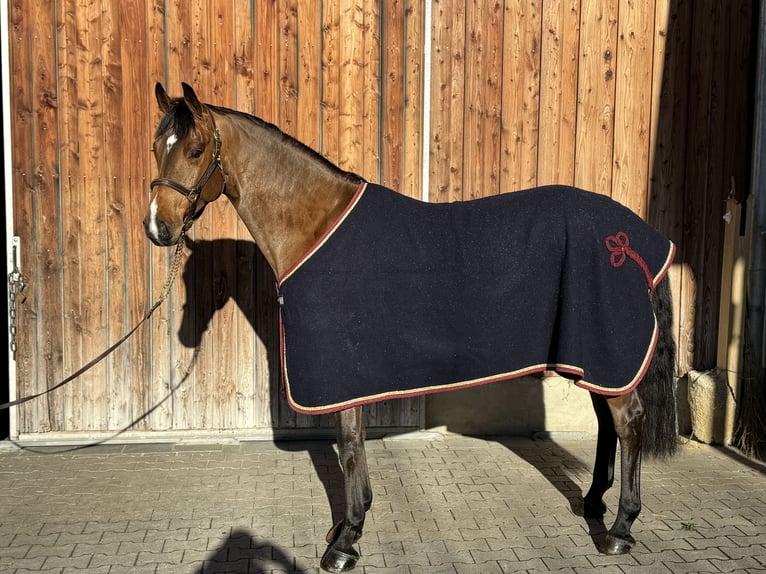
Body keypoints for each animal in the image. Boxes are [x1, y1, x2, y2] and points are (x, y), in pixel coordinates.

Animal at [144, 83, 678, 572]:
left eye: (194, 150)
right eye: (155, 147)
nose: (157, 229)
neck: (315, 226)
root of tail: (636, 239)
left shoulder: (341, 372)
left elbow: (350, 449)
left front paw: (345, 542)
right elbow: (353, 447)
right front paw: (347, 526)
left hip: (605, 349)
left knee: (628, 422)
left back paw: (619, 530)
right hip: (590, 355)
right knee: (607, 422)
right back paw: (593, 503)